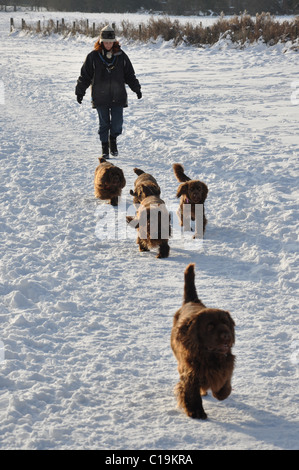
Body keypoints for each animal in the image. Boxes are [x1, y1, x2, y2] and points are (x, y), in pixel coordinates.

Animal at [171, 262, 237, 420]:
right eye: (210, 326)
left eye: (226, 323)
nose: (227, 335)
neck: (209, 356)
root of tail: (191, 301)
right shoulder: (190, 371)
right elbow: (190, 393)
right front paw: (196, 412)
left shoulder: (226, 363)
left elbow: (224, 383)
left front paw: (220, 392)